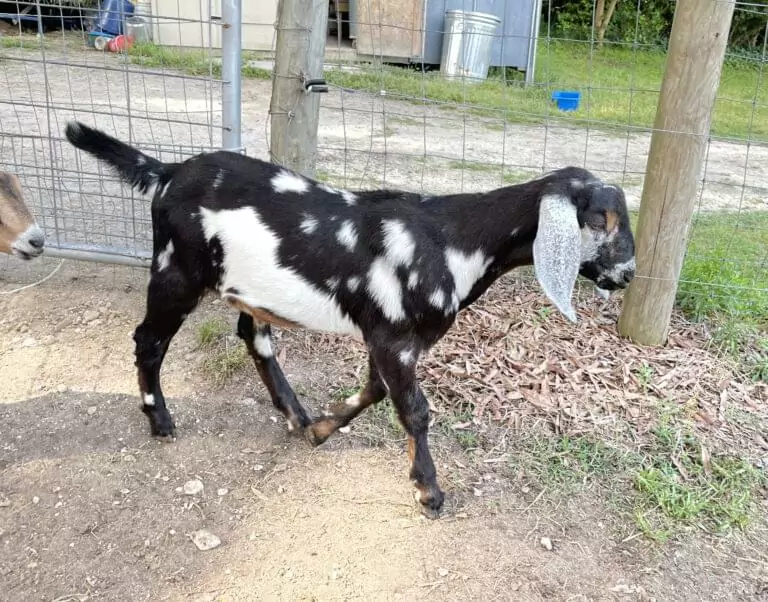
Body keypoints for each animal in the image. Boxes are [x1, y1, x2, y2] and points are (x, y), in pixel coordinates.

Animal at [64, 120, 636, 518]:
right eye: (600, 218)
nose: (628, 274)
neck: (453, 239)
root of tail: (167, 173)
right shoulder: (393, 337)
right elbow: (414, 411)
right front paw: (429, 490)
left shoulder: (388, 336)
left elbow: (377, 392)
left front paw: (321, 429)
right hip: (176, 270)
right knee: (149, 339)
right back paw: (160, 420)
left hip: (248, 287)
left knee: (253, 335)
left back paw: (295, 415)